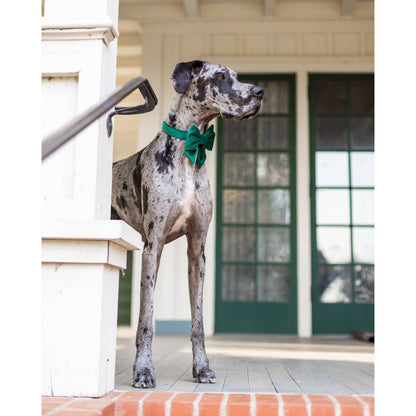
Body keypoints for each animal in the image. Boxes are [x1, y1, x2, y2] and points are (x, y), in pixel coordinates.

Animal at [110, 60, 264, 388]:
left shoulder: (197, 252)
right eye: (221, 76)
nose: (260, 92)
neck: (188, 152)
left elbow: (198, 322)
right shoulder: (152, 248)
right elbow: (146, 320)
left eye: (237, 75)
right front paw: (143, 370)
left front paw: (202, 368)